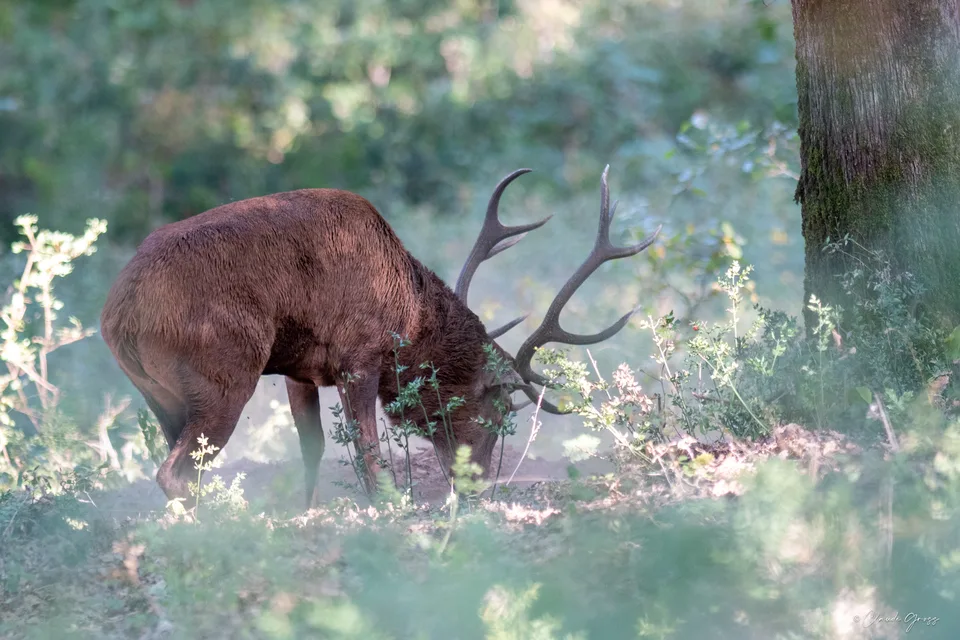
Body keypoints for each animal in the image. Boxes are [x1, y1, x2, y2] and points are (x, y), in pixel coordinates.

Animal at [99, 165, 660, 508]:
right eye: (498, 407)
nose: (475, 483)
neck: (406, 318)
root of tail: (118, 313)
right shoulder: (359, 355)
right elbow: (367, 449)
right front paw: (389, 505)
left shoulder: (300, 371)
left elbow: (313, 448)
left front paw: (308, 510)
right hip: (223, 372)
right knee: (176, 472)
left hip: (160, 395)